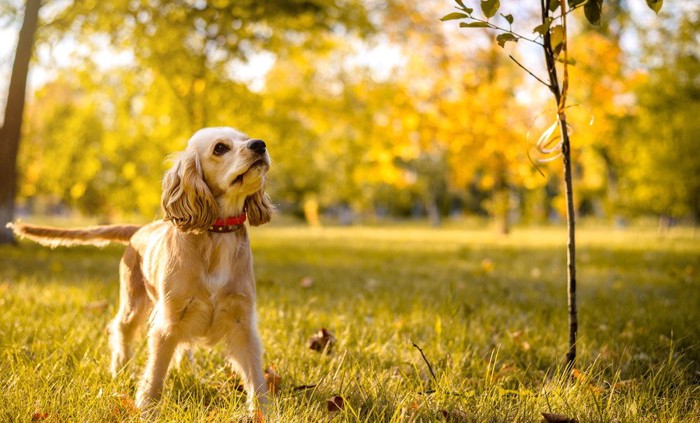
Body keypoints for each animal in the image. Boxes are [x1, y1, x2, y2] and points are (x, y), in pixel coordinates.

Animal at [8, 126, 276, 414]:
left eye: (246, 137)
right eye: (220, 148)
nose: (260, 144)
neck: (218, 234)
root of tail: (138, 230)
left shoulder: (242, 322)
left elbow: (255, 376)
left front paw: (263, 413)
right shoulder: (168, 321)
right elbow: (156, 371)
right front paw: (147, 408)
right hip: (133, 304)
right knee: (121, 331)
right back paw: (120, 371)